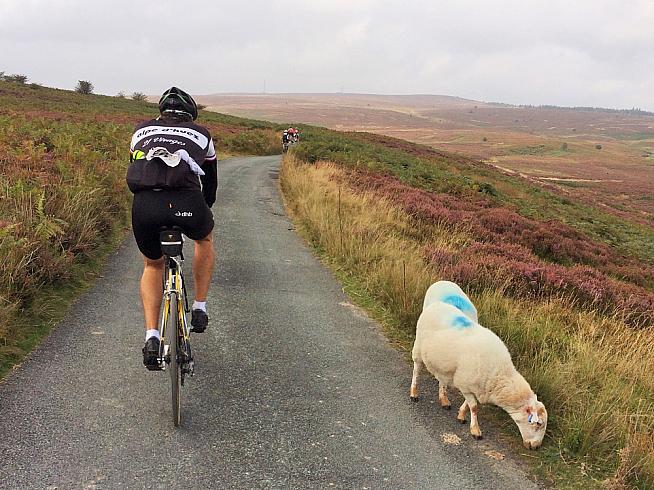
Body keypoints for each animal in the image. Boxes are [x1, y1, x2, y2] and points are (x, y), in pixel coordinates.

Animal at [410, 281, 547, 449]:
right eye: (538, 424)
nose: (536, 447)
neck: (499, 375)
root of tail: (438, 305)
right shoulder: (465, 383)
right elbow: (474, 407)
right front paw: (475, 430)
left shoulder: (473, 386)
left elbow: (469, 404)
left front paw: (461, 415)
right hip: (418, 348)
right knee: (416, 370)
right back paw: (414, 393)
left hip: (443, 363)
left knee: (441, 379)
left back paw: (444, 400)